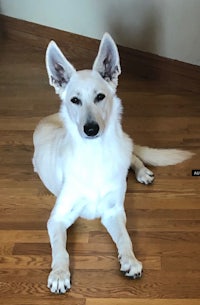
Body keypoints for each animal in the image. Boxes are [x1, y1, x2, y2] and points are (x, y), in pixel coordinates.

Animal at [32, 33, 192, 292]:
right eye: (75, 100)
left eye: (100, 97)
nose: (91, 129)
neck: (95, 155)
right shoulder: (58, 218)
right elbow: (60, 249)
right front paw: (59, 273)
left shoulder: (113, 212)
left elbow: (125, 237)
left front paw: (130, 260)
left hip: (124, 146)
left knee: (133, 155)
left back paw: (143, 172)